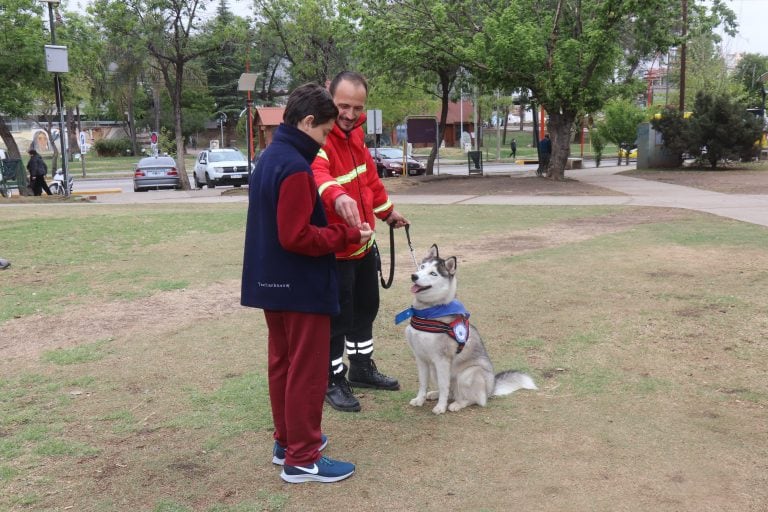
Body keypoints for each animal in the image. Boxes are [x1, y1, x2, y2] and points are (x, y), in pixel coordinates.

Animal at [400, 242, 536, 414]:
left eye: (433, 273)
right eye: (422, 267)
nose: (414, 276)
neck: (428, 311)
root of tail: (491, 388)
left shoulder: (442, 360)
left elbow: (444, 386)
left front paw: (440, 407)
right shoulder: (421, 358)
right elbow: (423, 383)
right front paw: (420, 399)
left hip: (468, 374)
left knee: (474, 399)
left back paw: (457, 404)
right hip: (434, 370)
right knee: (451, 391)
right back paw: (435, 394)